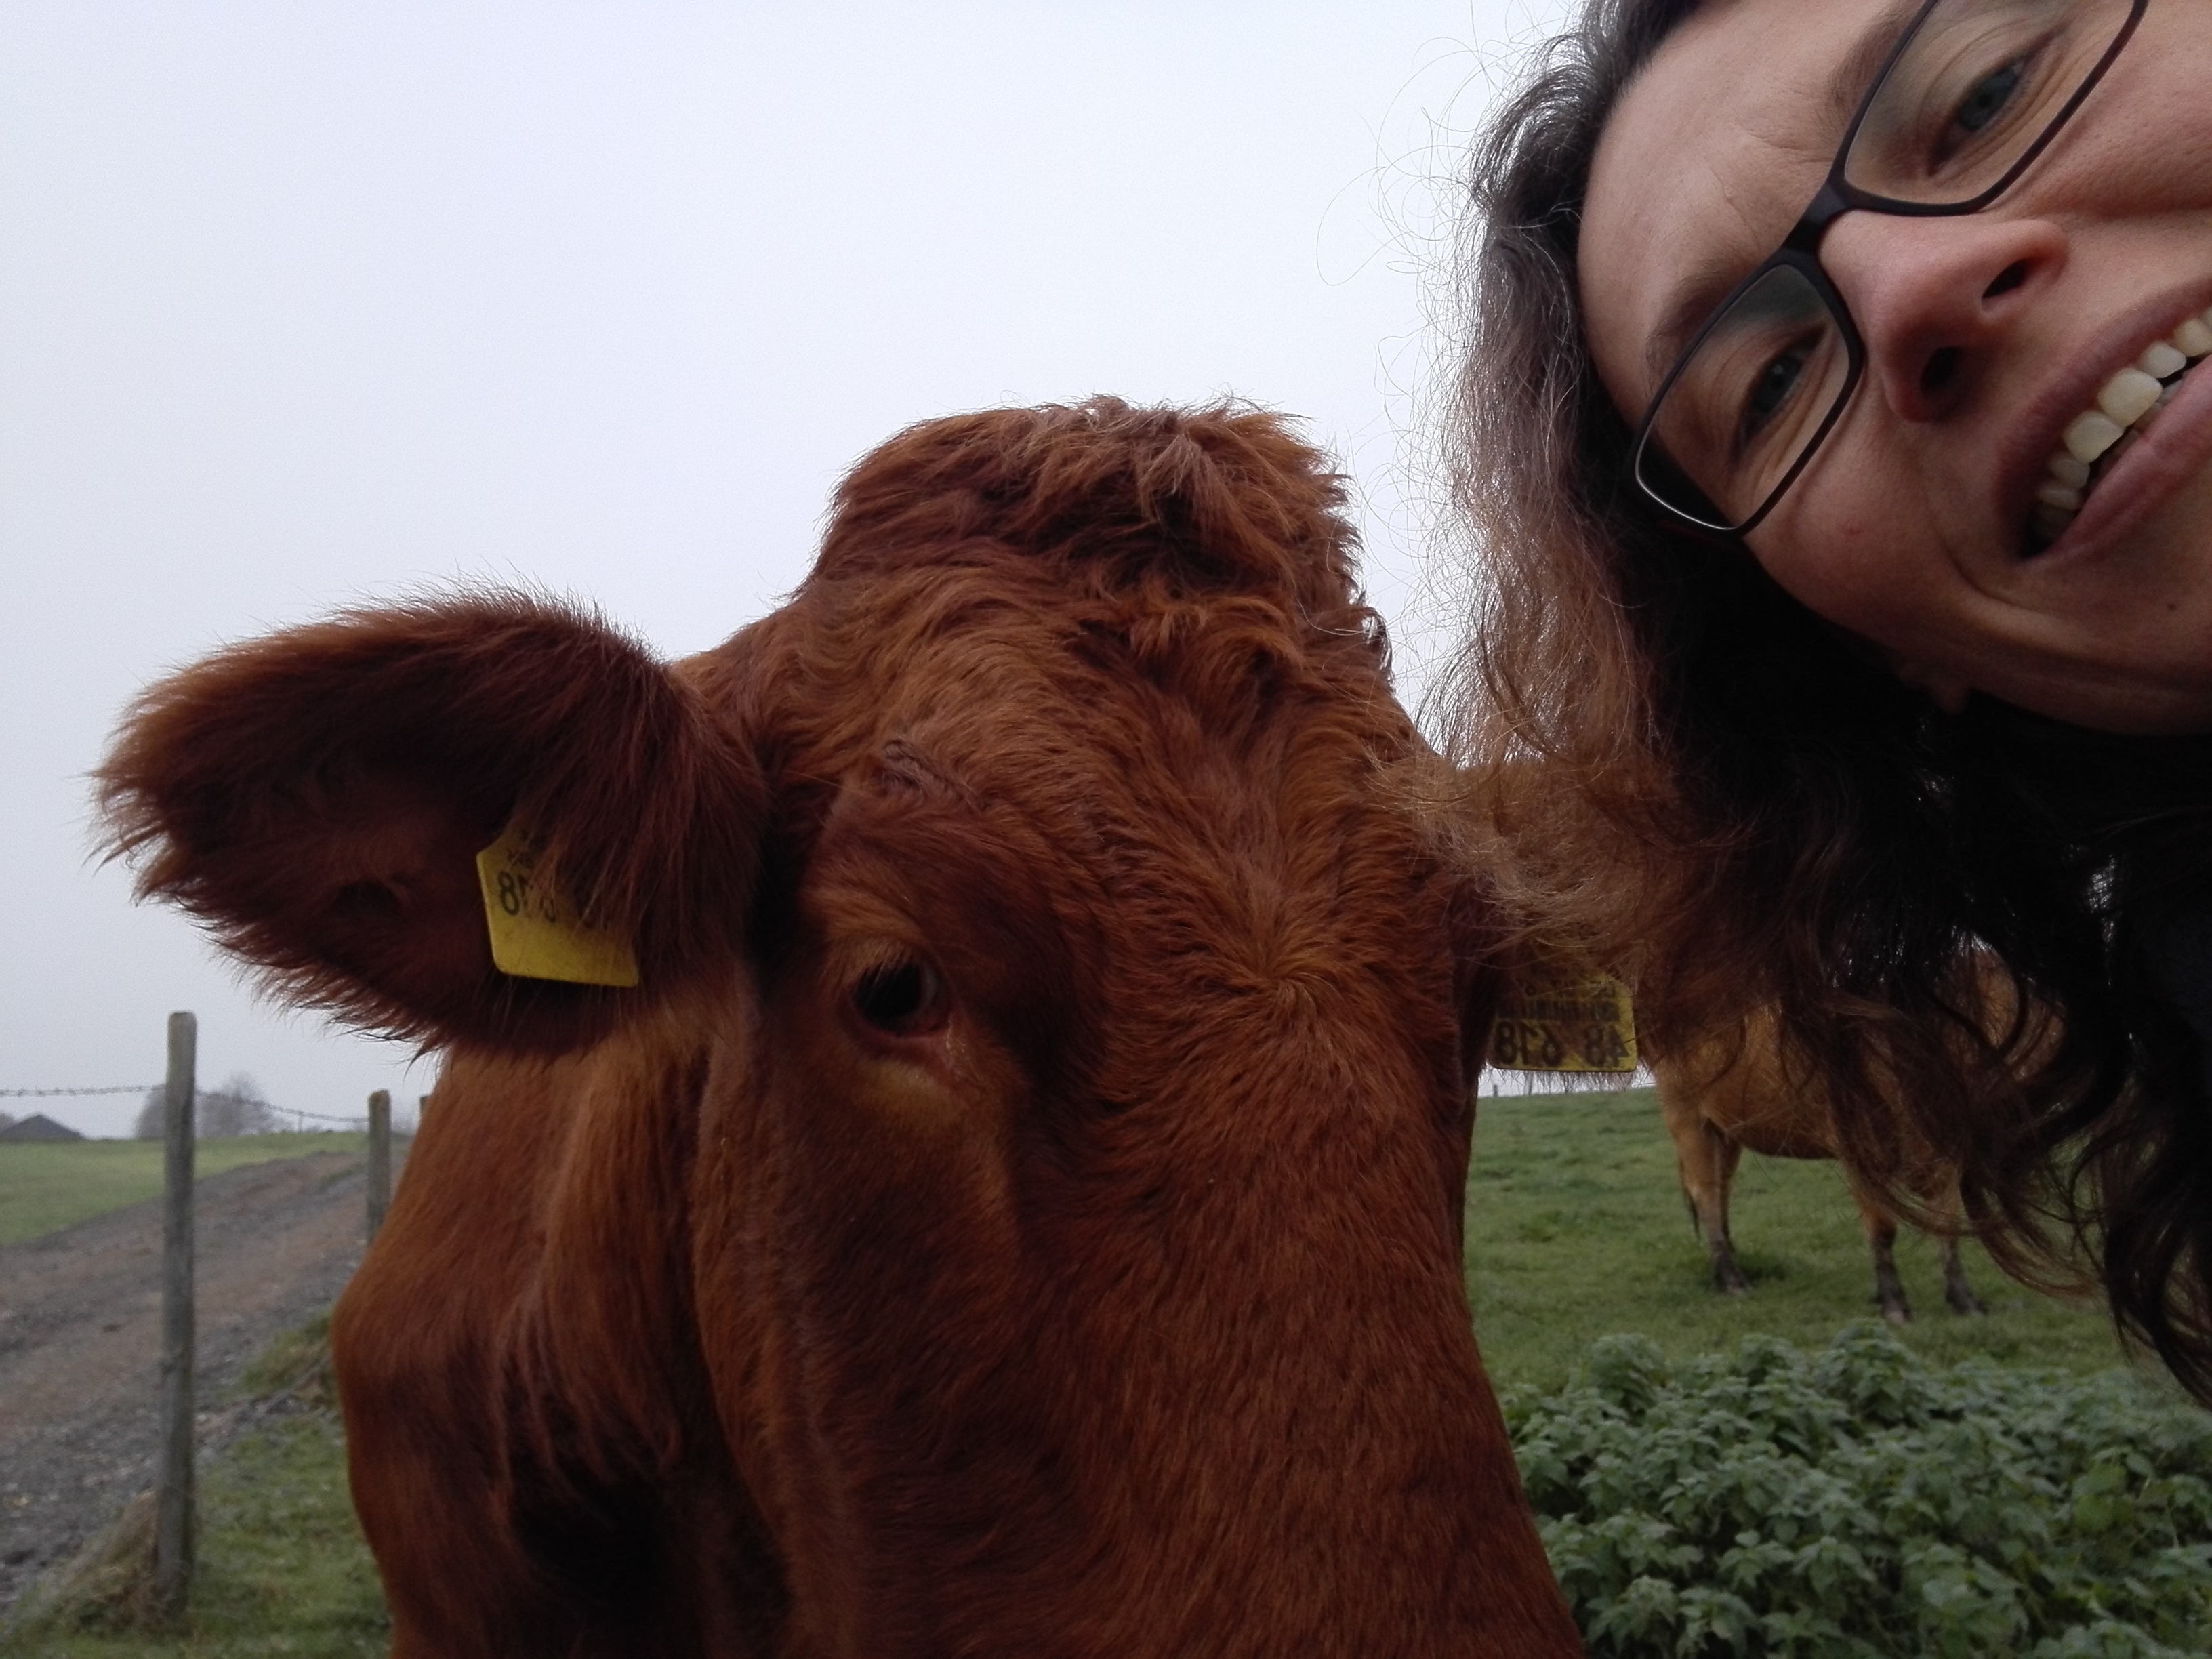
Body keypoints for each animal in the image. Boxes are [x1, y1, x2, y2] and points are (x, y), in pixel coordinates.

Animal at [1650, 1011, 1986, 1325]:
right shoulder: (1858, 1152)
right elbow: (1882, 1231)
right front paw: (1894, 1304)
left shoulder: (1949, 1153)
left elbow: (1948, 1229)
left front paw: (1964, 1300)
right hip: (1687, 1117)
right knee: (1705, 1193)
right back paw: (1732, 1280)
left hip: (1728, 1130)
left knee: (1723, 1189)